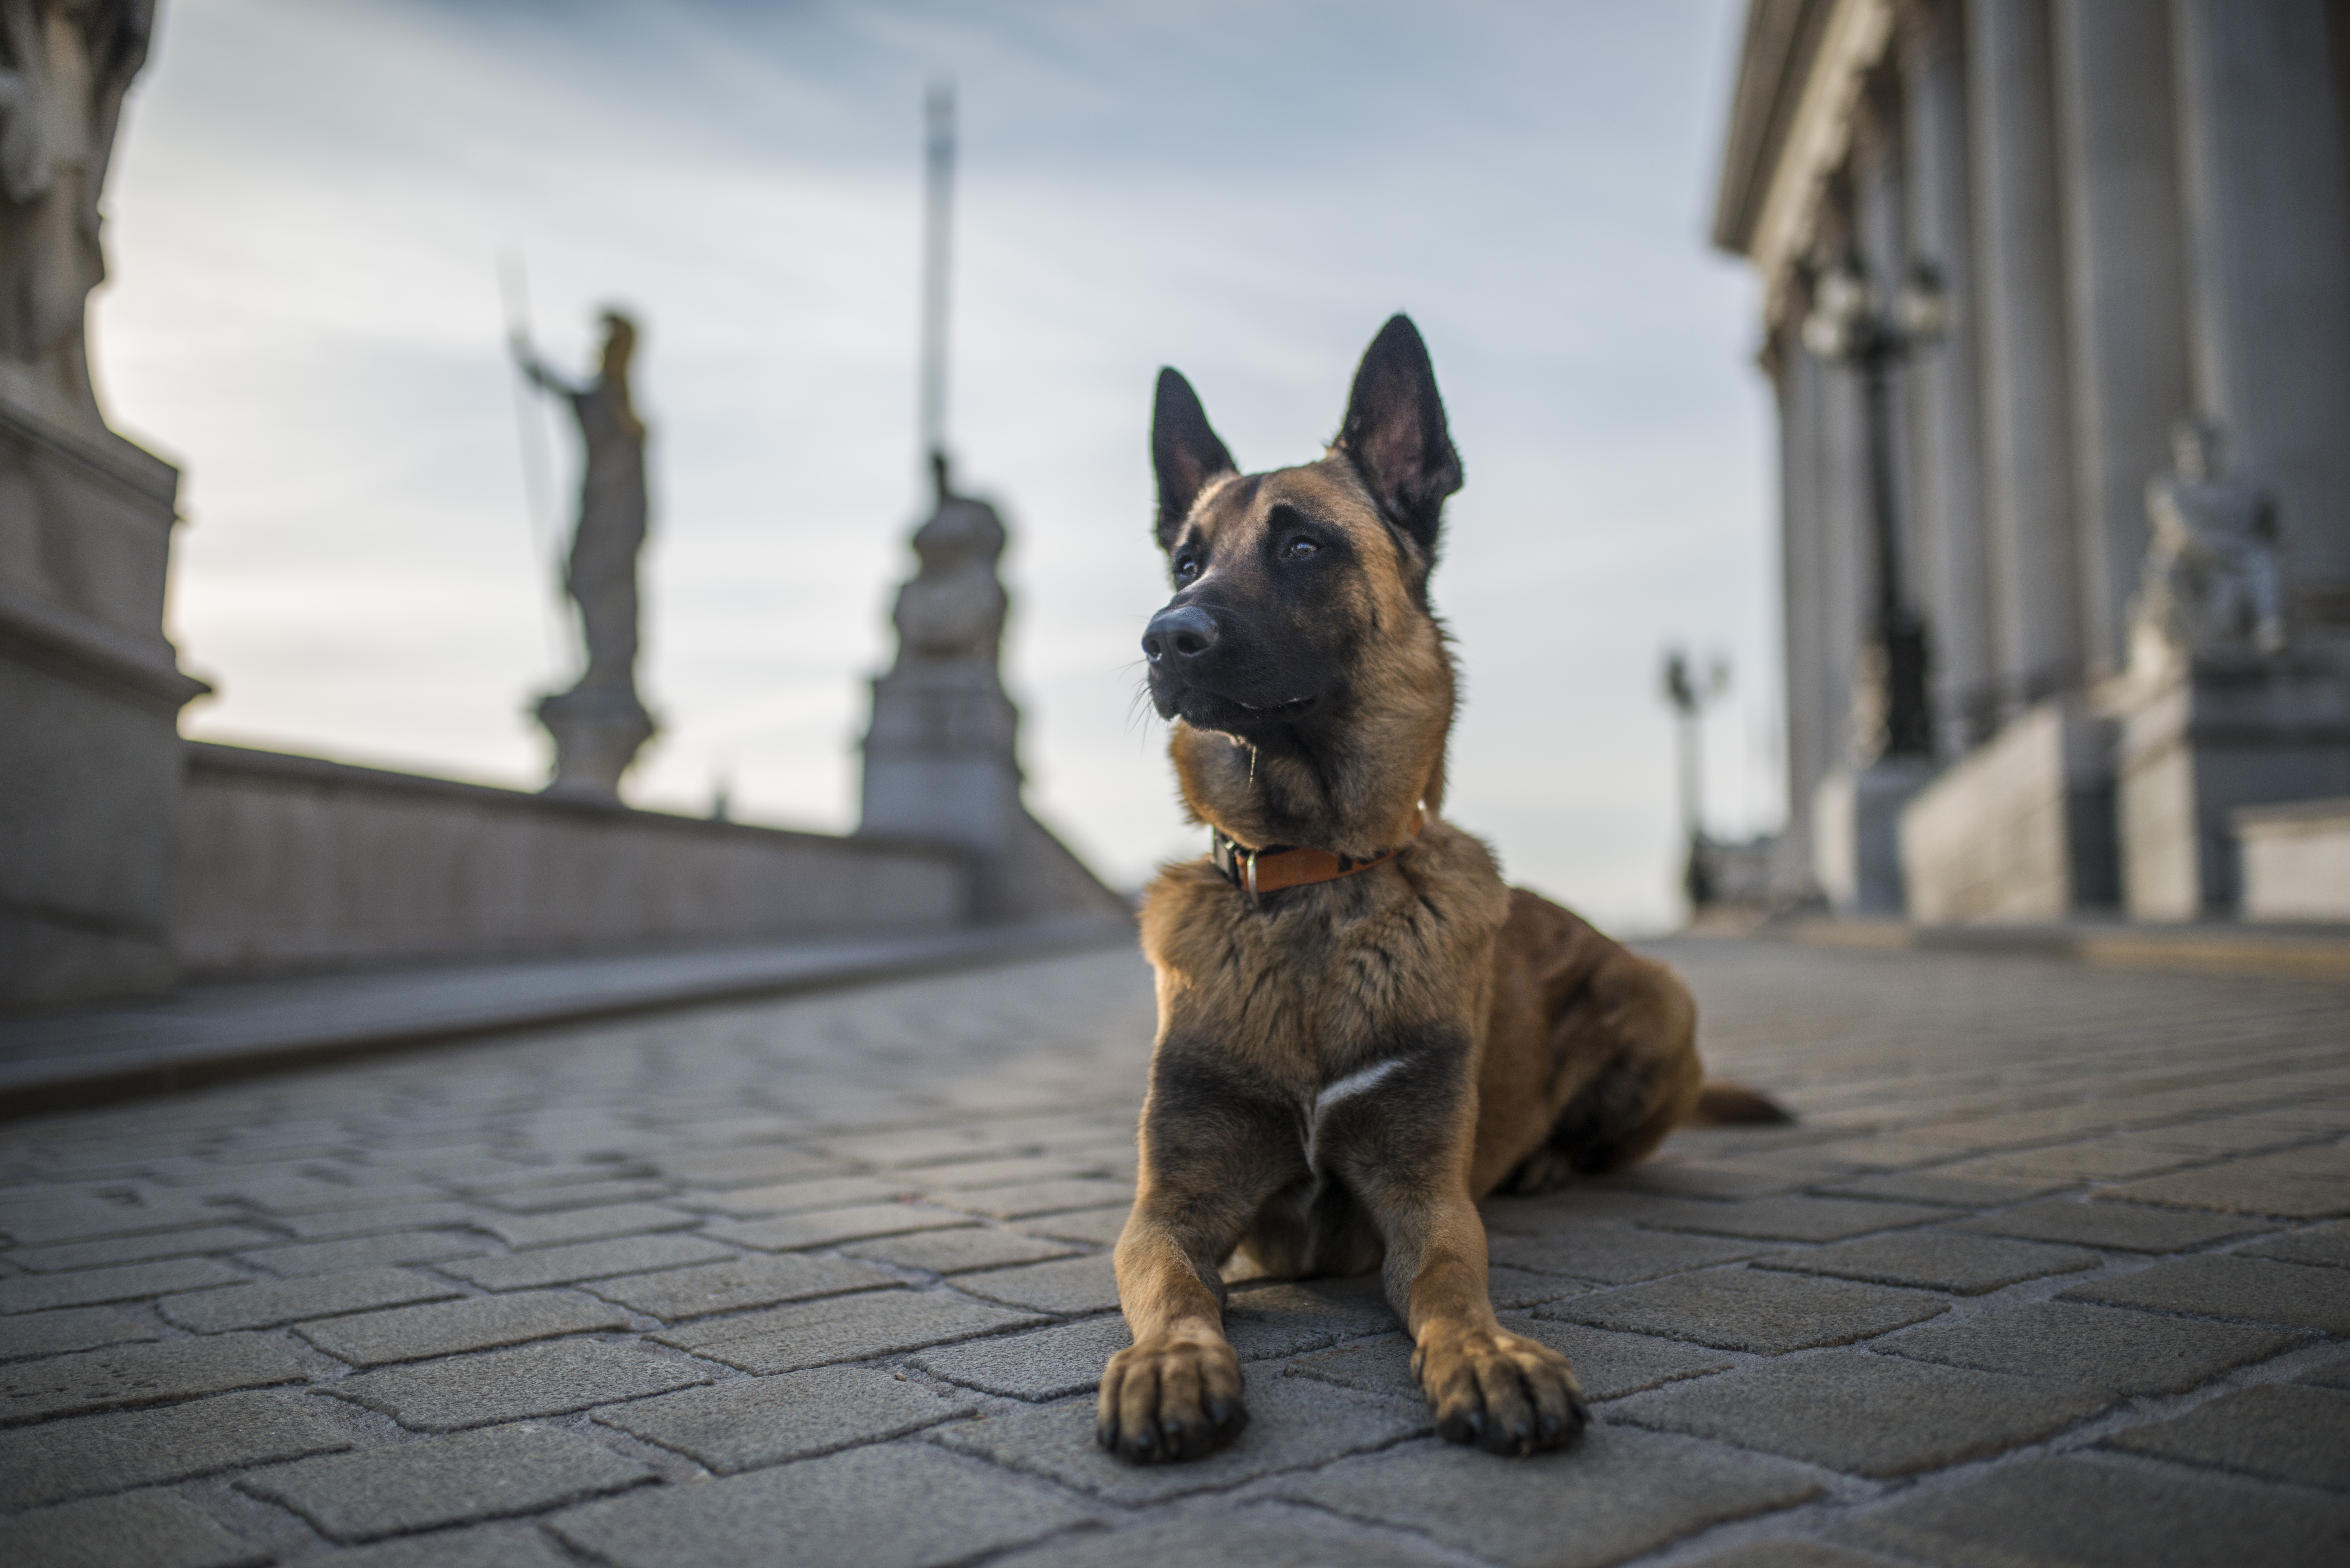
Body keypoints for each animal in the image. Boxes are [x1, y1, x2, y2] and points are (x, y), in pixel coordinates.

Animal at [1100, 313, 1777, 1467]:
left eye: (1303, 546)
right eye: (1188, 559)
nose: (1166, 635)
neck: (1313, 884)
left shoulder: (1427, 1202)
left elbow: (1454, 1286)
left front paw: (1489, 1357)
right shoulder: (1169, 1209)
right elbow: (1175, 1296)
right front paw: (1169, 1364)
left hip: (1658, 992)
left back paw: (1546, 1162)